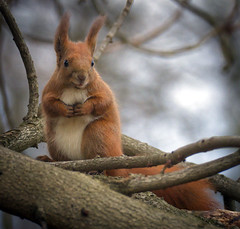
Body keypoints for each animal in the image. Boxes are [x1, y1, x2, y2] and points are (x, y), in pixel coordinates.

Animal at [38, 13, 220, 211]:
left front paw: (83, 108)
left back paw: (96, 169)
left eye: (92, 63)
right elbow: (49, 105)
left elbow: (103, 102)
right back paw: (50, 161)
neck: (74, 89)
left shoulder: (101, 89)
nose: (82, 77)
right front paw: (65, 109)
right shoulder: (49, 91)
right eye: (66, 62)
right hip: (55, 142)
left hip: (98, 134)